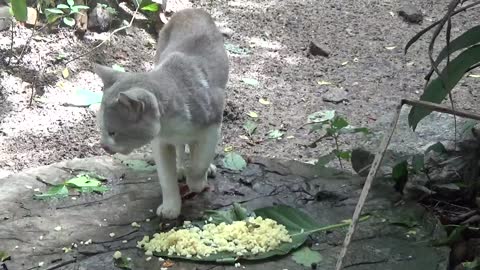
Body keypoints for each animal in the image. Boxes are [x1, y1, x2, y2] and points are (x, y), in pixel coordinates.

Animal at [94, 8, 230, 219]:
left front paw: (197, 182)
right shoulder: (160, 142)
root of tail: (190, 9)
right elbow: (166, 177)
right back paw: (181, 167)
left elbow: (200, 162)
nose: (103, 146)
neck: (171, 126)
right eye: (101, 129)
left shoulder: (212, 128)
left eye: (113, 132)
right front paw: (171, 207)